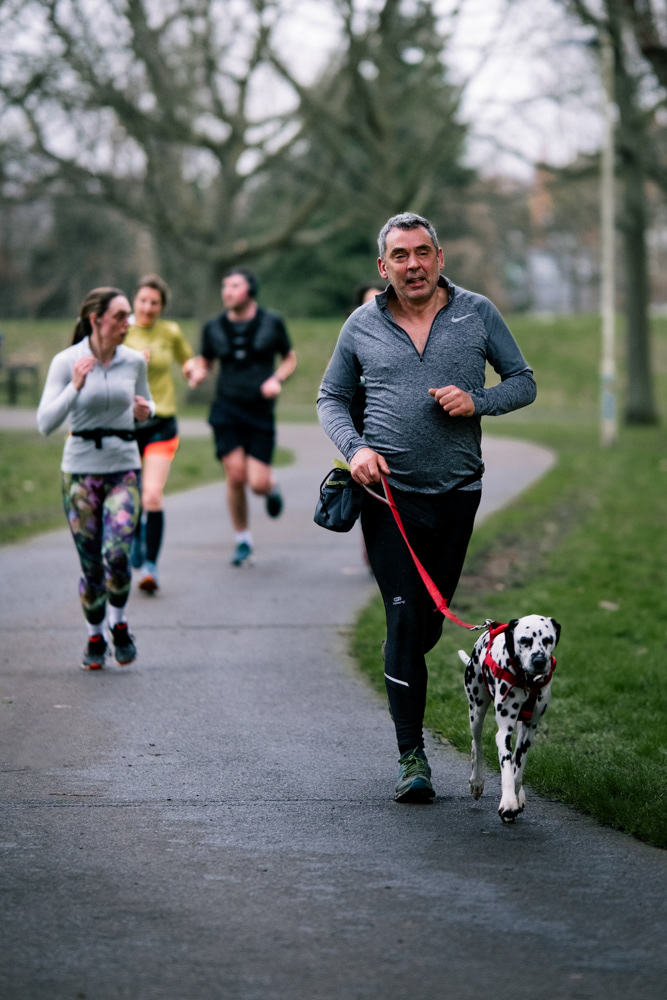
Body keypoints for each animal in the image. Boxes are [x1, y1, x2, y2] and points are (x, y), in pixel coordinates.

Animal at [458, 615, 561, 822]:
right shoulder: (504, 731)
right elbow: (506, 767)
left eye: (548, 640)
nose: (539, 661)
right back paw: (476, 782)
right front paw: (508, 804)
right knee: (477, 744)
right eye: (524, 640)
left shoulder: (529, 730)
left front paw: (515, 796)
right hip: (476, 710)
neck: (528, 681)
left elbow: (517, 768)